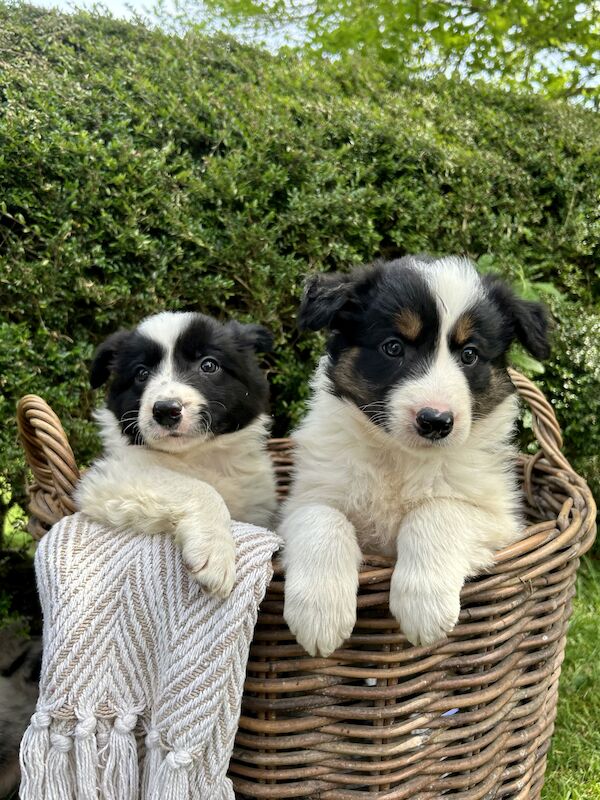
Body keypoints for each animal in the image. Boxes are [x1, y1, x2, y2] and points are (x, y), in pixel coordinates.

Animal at [75, 310, 278, 596]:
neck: (195, 454)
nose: (166, 410)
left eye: (208, 365)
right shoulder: (110, 476)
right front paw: (215, 554)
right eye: (141, 373)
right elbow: (199, 488)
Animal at [278, 258, 552, 656]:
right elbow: (323, 518)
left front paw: (424, 606)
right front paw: (320, 614)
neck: (402, 459)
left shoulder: (502, 521)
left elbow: (437, 510)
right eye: (393, 347)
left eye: (469, 354)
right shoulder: (304, 499)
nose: (435, 421)